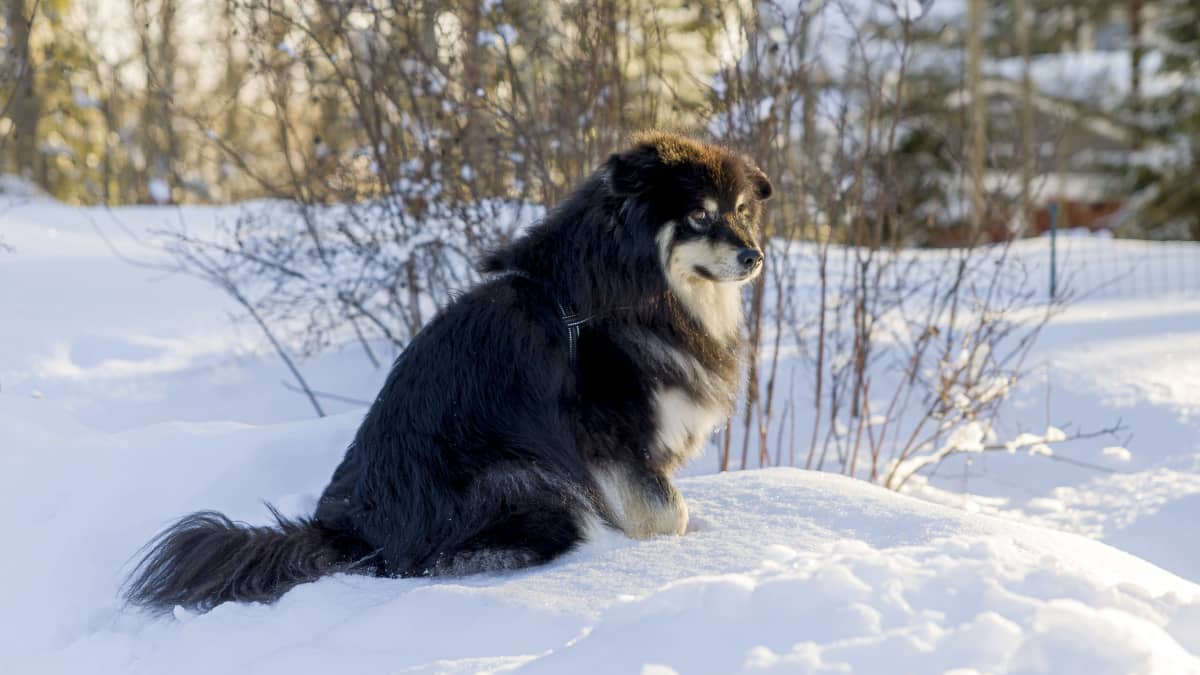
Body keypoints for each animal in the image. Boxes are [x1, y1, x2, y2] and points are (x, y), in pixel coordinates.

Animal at [126, 131, 772, 610]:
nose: (754, 255)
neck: (623, 294)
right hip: (529, 482)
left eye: (742, 213)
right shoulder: (612, 442)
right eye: (698, 215)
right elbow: (669, 512)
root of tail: (348, 533)